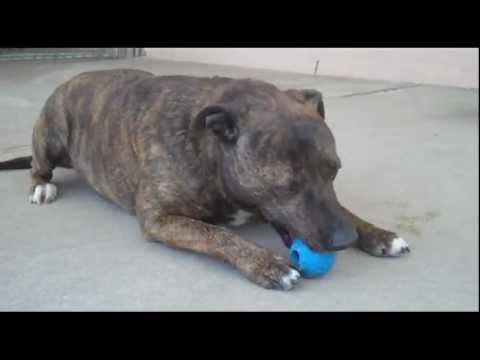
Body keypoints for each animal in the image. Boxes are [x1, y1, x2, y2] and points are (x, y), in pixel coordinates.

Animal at [0, 69, 412, 290]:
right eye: (286, 186)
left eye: (334, 171)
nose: (345, 241)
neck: (212, 151)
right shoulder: (160, 219)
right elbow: (217, 234)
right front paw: (266, 263)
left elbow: (345, 208)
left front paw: (377, 234)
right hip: (51, 132)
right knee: (38, 164)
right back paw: (41, 184)